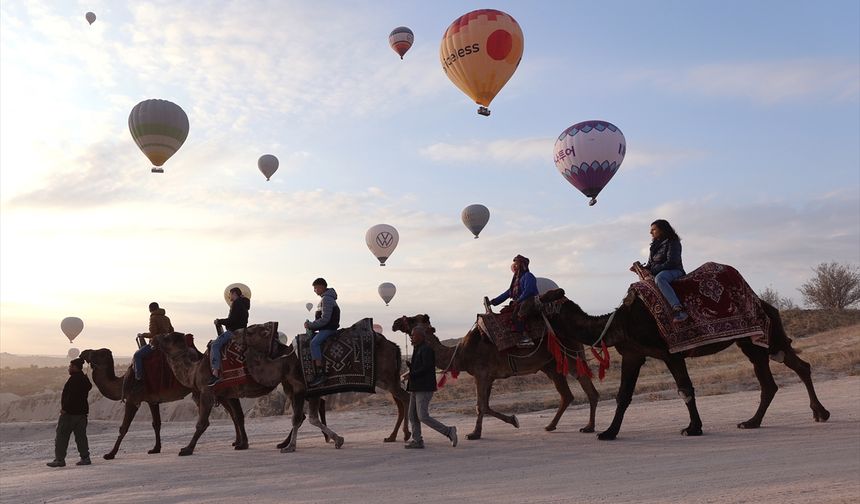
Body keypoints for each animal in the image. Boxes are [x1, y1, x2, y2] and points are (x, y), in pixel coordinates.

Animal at [235, 322, 410, 452]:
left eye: (250, 331)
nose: (235, 332)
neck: (285, 361)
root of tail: (394, 346)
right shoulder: (310, 392)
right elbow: (311, 418)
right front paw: (338, 440)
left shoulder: (302, 389)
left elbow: (299, 418)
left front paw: (290, 447)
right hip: (386, 380)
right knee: (400, 402)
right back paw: (392, 437)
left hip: (388, 378)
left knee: (405, 397)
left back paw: (407, 435)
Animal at [394, 314, 596, 440]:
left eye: (411, 319)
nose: (395, 323)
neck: (461, 354)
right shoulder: (489, 377)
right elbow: (486, 405)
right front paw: (510, 421)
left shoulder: (481, 374)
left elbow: (481, 405)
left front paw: (475, 434)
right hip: (551, 366)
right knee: (566, 395)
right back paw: (551, 425)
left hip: (570, 355)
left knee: (587, 387)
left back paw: (589, 427)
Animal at [524, 292, 832, 440]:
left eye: (529, 306)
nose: (515, 313)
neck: (618, 322)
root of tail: (768, 305)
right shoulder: (633, 355)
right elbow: (623, 396)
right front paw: (608, 433)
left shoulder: (670, 353)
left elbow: (685, 388)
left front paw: (693, 428)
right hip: (752, 344)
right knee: (775, 378)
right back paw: (753, 422)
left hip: (765, 337)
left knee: (795, 366)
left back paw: (820, 413)